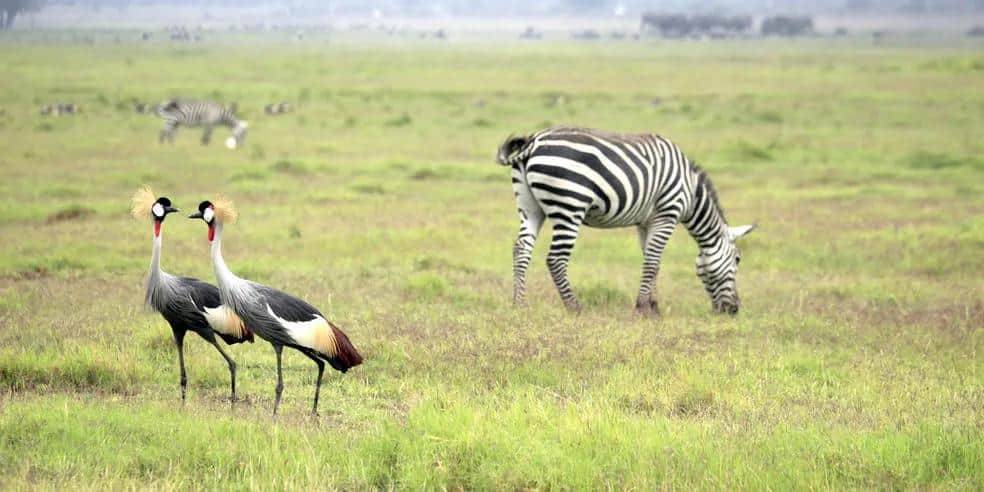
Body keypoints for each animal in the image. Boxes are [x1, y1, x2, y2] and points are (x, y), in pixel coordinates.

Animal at [496, 127, 755, 315]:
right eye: (738, 259)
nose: (734, 310)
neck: (691, 192)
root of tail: (532, 143)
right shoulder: (667, 214)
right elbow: (652, 263)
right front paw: (642, 308)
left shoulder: (646, 222)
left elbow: (653, 261)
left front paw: (653, 306)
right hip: (570, 205)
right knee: (556, 259)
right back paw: (575, 307)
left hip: (530, 207)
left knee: (521, 249)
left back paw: (519, 304)